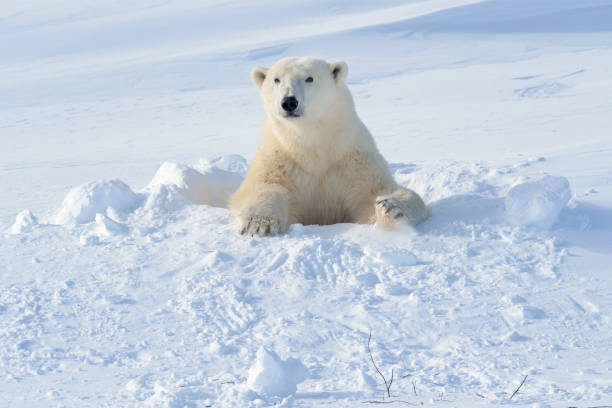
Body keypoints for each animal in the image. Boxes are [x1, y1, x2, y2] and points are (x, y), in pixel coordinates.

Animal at [230, 57, 430, 236]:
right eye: (276, 79)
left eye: (309, 78)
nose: (289, 102)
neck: (312, 145)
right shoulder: (279, 157)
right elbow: (264, 186)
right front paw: (257, 223)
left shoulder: (353, 158)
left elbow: (375, 192)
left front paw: (391, 207)